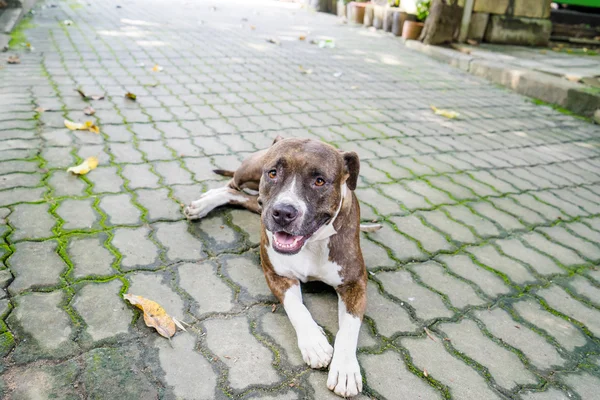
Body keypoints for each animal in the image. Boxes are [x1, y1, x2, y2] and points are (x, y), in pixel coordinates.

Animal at [185, 137, 378, 396]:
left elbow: (349, 326)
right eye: (273, 173)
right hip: (251, 172)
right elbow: (297, 308)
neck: (311, 244)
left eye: (319, 181)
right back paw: (203, 203)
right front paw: (315, 343)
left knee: (241, 195)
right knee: (232, 186)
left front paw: (345, 369)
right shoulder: (277, 274)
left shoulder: (354, 283)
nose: (283, 212)